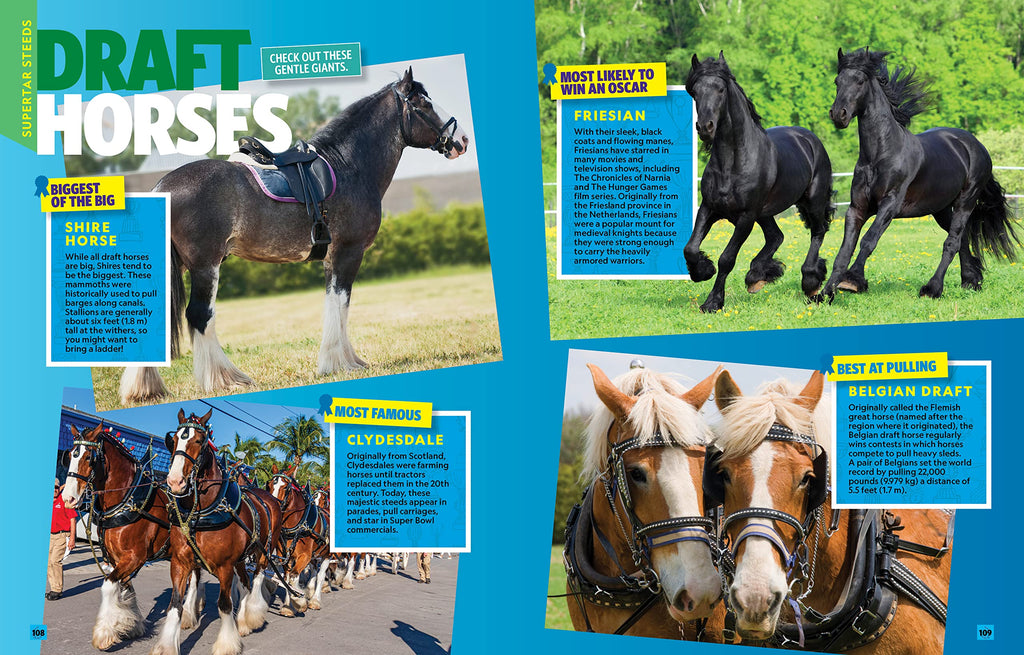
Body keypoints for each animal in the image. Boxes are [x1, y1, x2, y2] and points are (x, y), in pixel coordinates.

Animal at [62, 423, 204, 650]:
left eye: (88, 457)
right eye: (69, 456)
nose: (68, 498)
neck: (127, 499)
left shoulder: (135, 557)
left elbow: (108, 585)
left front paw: (104, 634)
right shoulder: (116, 559)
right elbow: (127, 588)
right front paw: (133, 624)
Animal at [119, 67, 470, 404]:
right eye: (424, 104)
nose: (463, 140)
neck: (349, 166)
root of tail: (161, 188)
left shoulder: (331, 256)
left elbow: (333, 303)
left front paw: (344, 361)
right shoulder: (350, 251)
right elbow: (341, 302)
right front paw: (338, 363)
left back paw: (145, 389)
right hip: (205, 266)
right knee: (199, 315)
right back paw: (225, 379)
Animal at [154, 409, 284, 655]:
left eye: (198, 441)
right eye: (173, 440)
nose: (175, 482)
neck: (204, 510)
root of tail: (268, 498)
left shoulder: (224, 566)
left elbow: (224, 605)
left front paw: (226, 644)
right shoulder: (180, 562)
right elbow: (175, 603)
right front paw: (167, 646)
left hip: (264, 549)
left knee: (257, 577)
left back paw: (252, 615)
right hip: (241, 557)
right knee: (245, 582)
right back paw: (243, 621)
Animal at [684, 53, 834, 312]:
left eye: (721, 89)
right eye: (694, 91)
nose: (705, 127)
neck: (732, 162)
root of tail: (810, 139)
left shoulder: (746, 217)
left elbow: (727, 259)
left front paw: (713, 302)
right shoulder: (709, 207)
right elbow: (690, 248)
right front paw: (703, 271)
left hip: (812, 201)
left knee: (818, 231)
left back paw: (811, 282)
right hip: (766, 213)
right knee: (776, 236)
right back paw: (757, 276)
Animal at [824, 48, 1018, 299]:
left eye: (860, 81)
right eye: (837, 81)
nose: (839, 114)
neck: (881, 154)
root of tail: (976, 145)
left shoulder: (889, 205)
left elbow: (868, 240)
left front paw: (852, 281)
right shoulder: (857, 208)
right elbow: (844, 250)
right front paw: (825, 292)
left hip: (966, 202)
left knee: (952, 242)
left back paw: (932, 288)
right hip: (941, 209)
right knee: (961, 239)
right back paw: (970, 280)